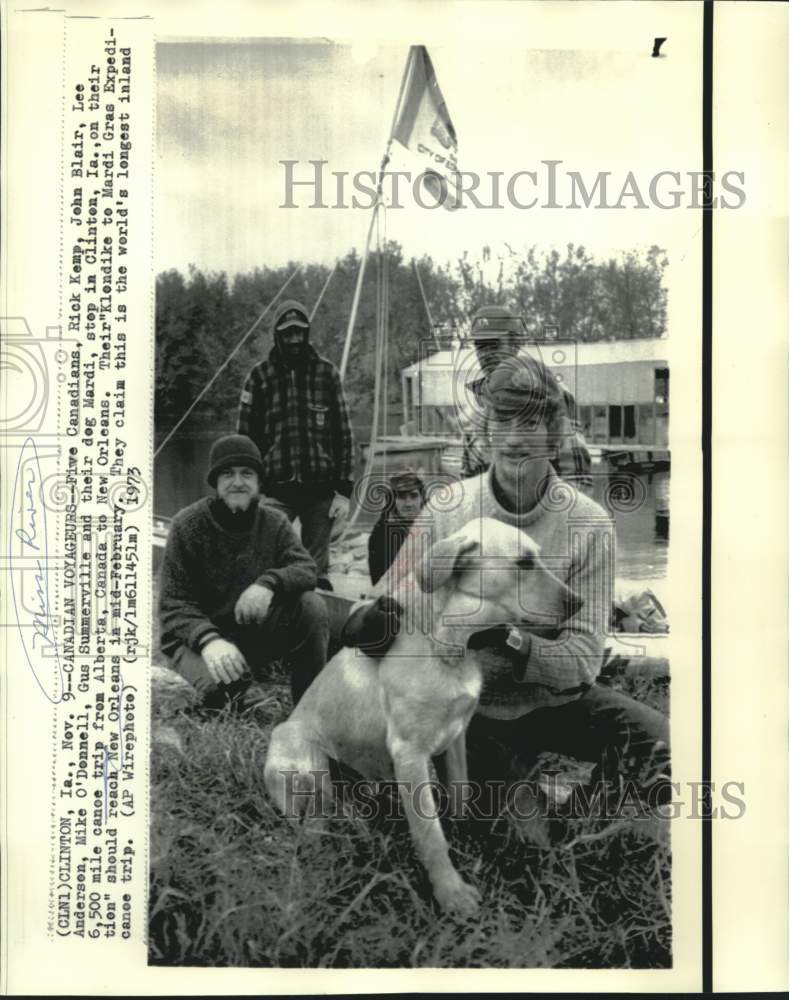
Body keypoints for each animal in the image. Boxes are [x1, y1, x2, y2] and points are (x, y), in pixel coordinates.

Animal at [264, 520, 580, 916]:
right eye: (524, 562)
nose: (580, 602)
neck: (449, 646)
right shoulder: (409, 752)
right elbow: (431, 833)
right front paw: (450, 891)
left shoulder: (455, 737)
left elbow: (460, 794)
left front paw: (466, 837)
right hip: (299, 758)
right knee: (308, 822)